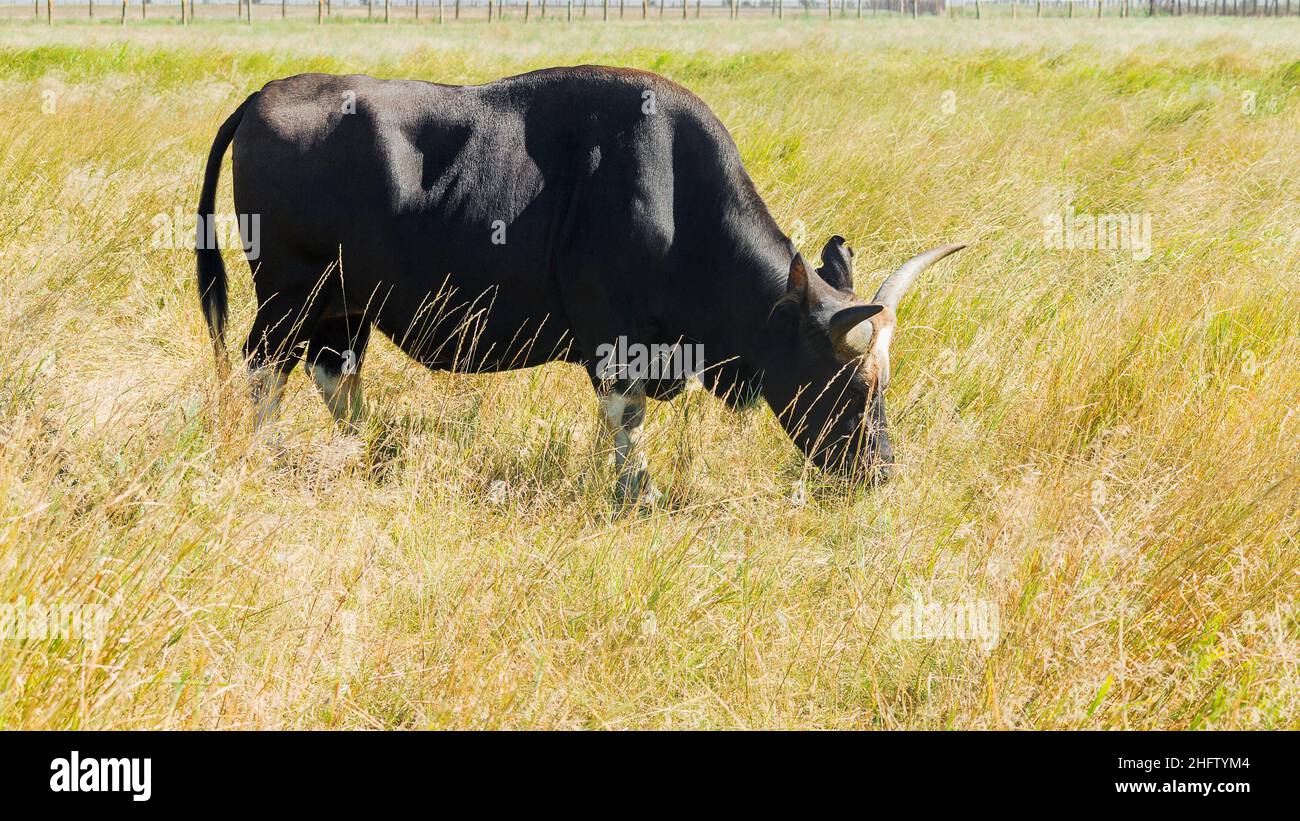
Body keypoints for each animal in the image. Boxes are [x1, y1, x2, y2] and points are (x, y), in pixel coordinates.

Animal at [195, 65, 967, 501]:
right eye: (849, 384)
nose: (880, 473)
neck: (673, 196)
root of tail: (265, 93)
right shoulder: (615, 345)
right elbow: (626, 419)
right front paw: (639, 491)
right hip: (287, 296)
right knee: (264, 370)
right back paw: (275, 457)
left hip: (342, 307)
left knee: (335, 374)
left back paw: (371, 455)